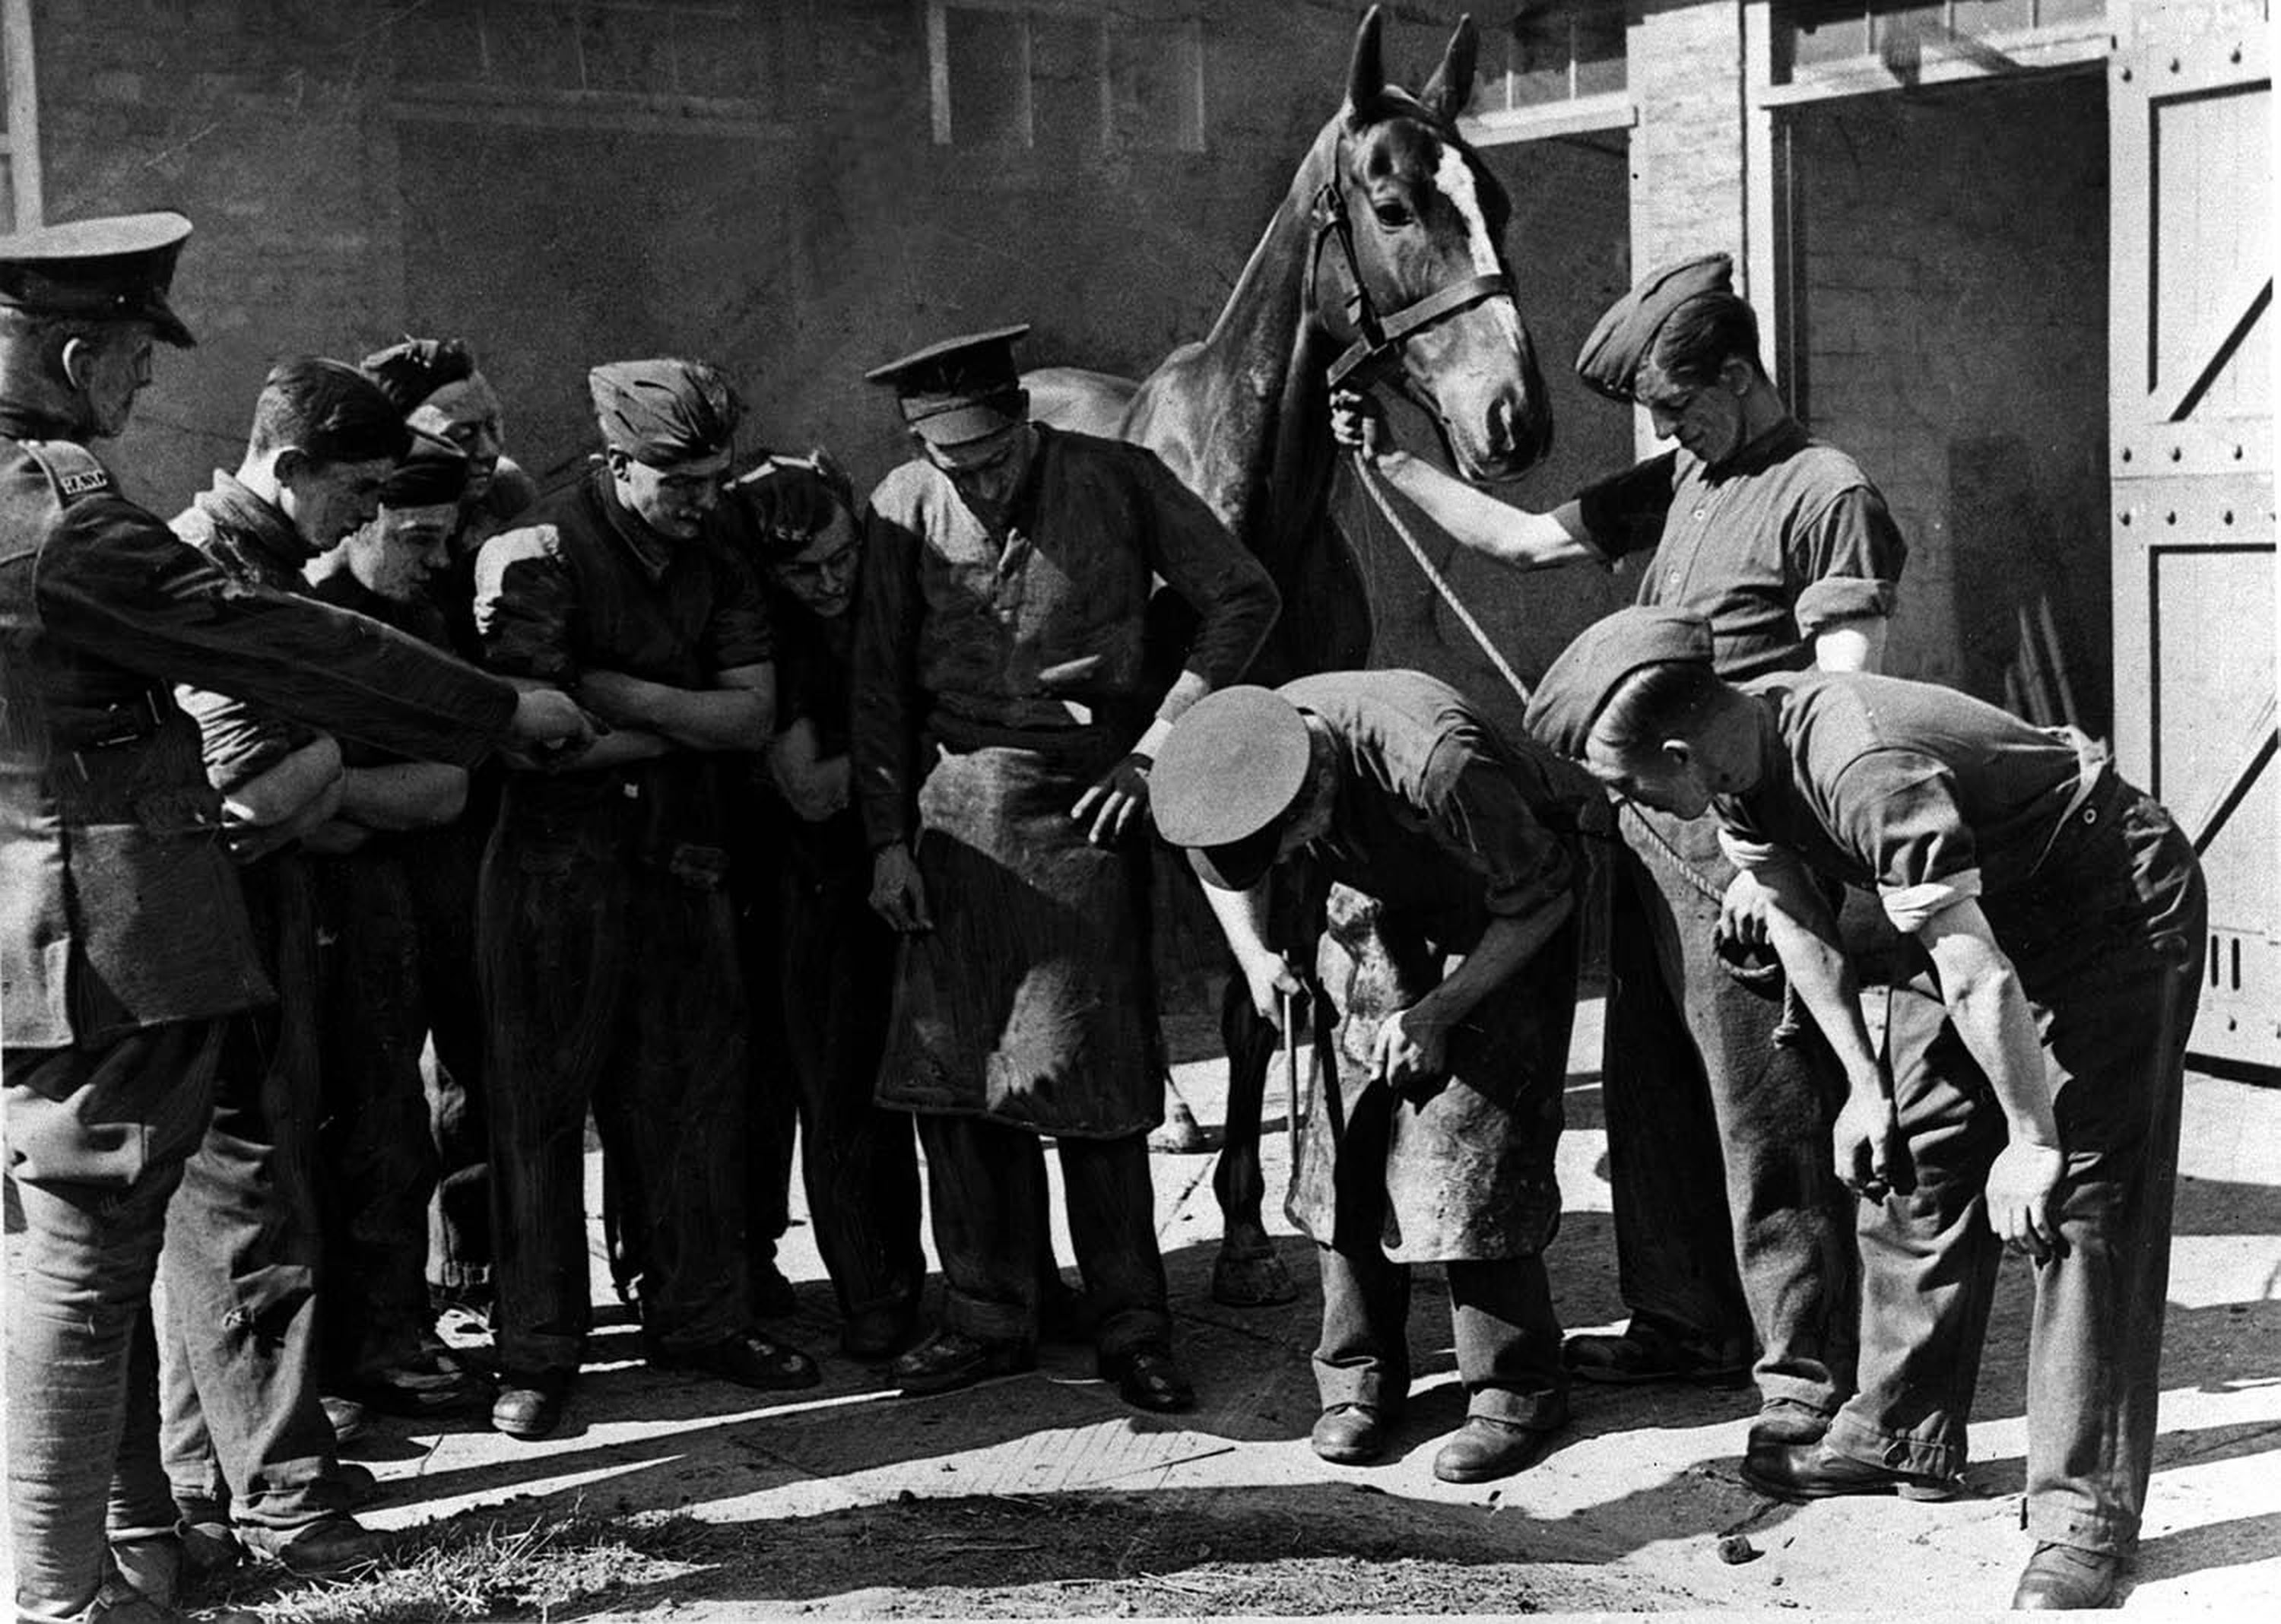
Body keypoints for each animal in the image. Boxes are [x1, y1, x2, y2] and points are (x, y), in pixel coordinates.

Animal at [1026, 6, 1560, 1305]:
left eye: (1499, 199)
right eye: (1395, 205)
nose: (1514, 419)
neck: (1240, 509)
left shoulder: (1298, 787)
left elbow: (1264, 991)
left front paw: (1251, 1228)